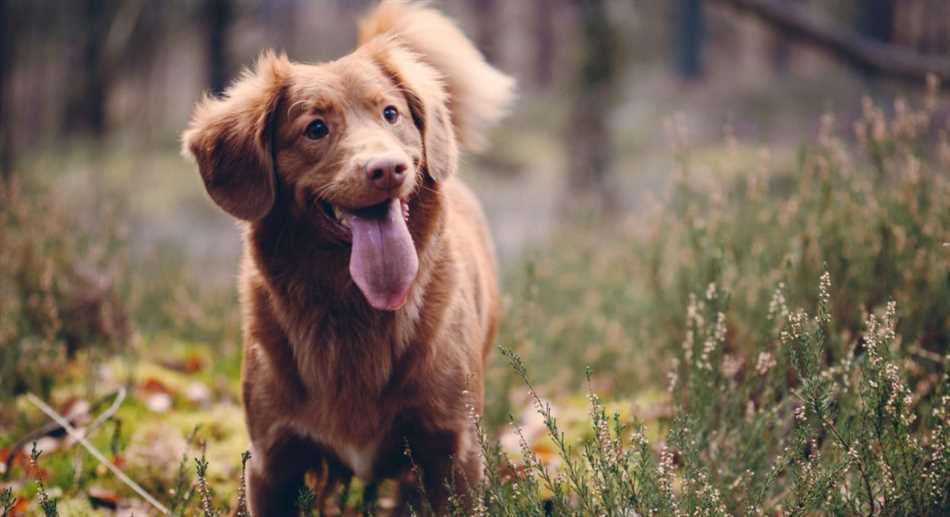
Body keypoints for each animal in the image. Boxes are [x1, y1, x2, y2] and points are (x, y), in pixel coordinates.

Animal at [182, 1, 516, 516]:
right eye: (315, 128)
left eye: (391, 113)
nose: (387, 169)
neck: (352, 308)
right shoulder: (273, 463)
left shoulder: (453, 452)